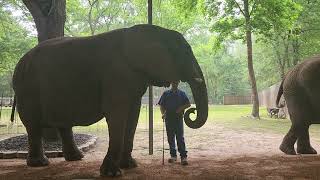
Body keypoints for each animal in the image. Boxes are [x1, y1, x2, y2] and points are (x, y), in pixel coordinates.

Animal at [11, 23, 208, 176]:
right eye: (186, 52)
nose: (190, 112)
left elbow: (133, 115)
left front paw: (130, 166)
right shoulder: (116, 75)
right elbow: (118, 115)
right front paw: (113, 174)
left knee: (62, 124)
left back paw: (76, 158)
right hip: (27, 90)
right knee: (33, 126)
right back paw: (40, 164)